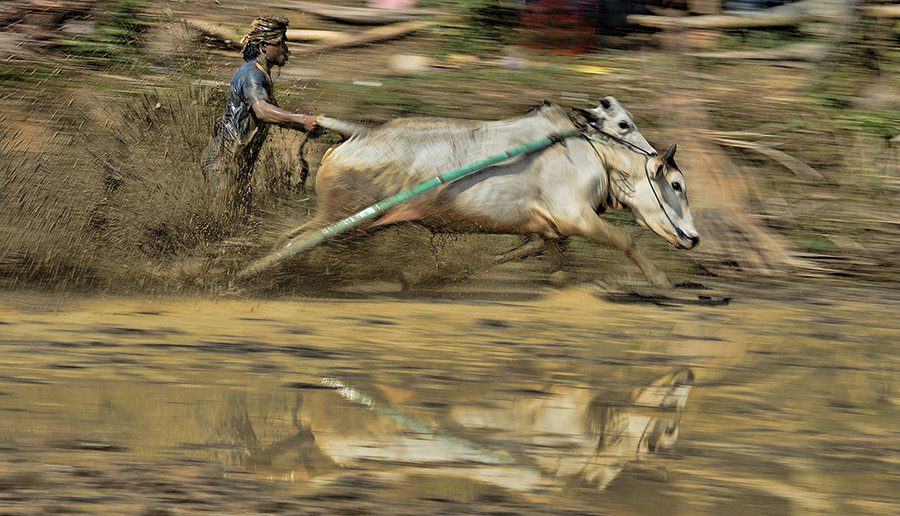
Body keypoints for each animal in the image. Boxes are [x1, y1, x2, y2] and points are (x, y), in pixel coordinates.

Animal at [282, 100, 699, 288]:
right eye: (677, 185)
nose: (694, 238)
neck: (595, 157)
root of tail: (357, 134)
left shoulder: (551, 229)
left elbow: (548, 260)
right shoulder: (576, 216)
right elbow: (626, 240)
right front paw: (661, 281)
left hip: (352, 224)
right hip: (338, 218)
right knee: (290, 242)